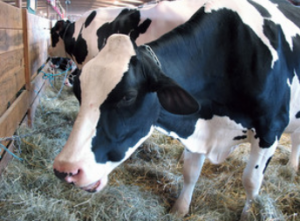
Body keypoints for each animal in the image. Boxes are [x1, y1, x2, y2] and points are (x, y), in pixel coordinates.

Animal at [52, 0, 300, 218]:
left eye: (128, 96)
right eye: (79, 92)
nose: (65, 170)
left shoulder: (270, 130)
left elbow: (251, 181)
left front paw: (249, 213)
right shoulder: (198, 123)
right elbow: (190, 173)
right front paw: (180, 209)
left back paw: (291, 167)